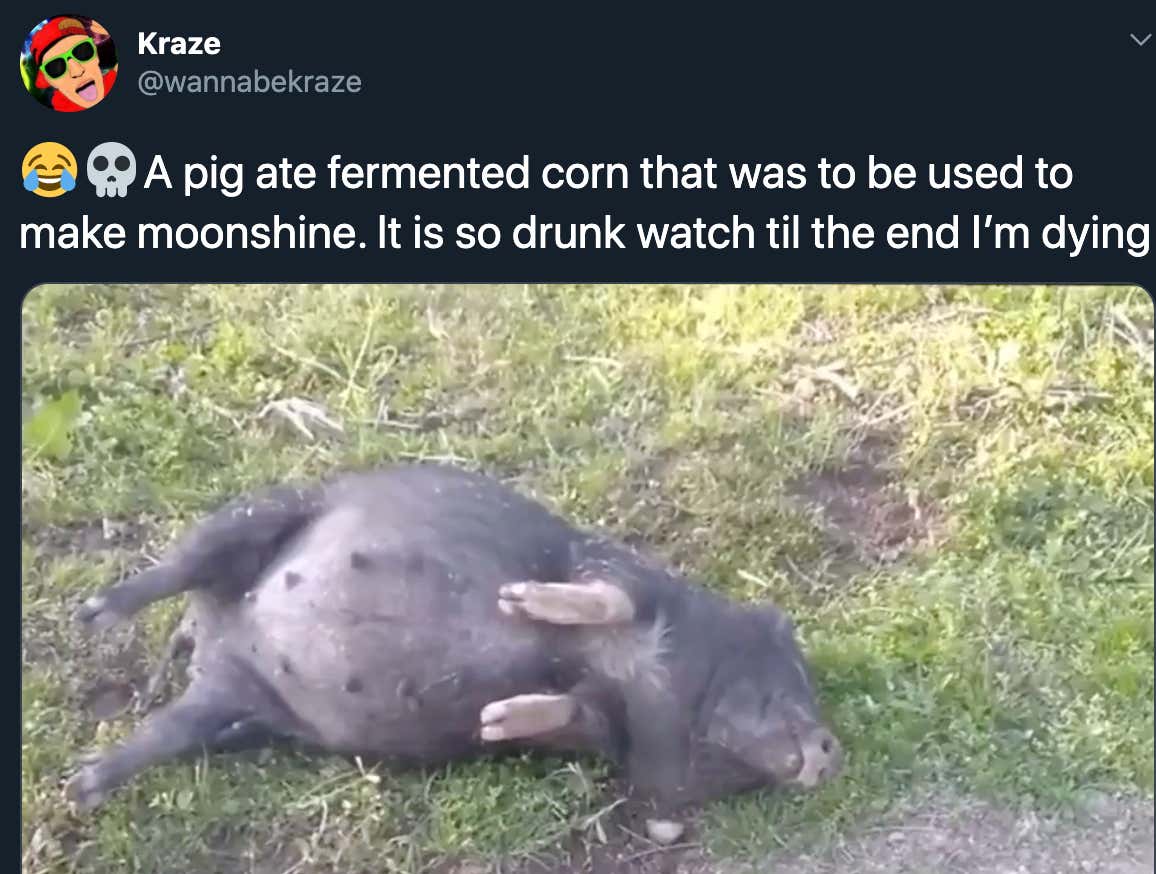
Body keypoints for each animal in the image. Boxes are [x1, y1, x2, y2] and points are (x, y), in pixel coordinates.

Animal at [66, 463, 841, 827]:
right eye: (797, 673)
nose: (832, 750)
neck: (656, 683)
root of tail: (213, 634)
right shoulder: (622, 570)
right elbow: (605, 593)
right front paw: (518, 602)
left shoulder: (606, 733)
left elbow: (567, 708)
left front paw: (495, 721)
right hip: (267, 509)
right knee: (186, 558)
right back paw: (91, 616)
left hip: (234, 700)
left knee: (170, 729)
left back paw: (81, 785)